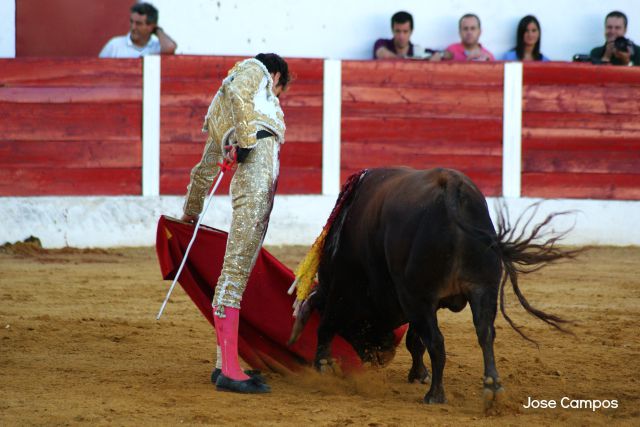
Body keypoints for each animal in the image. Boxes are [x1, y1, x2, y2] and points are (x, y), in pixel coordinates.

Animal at [288, 166, 576, 408]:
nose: (380, 356)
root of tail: (453, 188)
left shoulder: (348, 288)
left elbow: (328, 325)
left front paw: (323, 367)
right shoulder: (420, 300)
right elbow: (416, 340)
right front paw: (419, 374)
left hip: (420, 296)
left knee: (438, 341)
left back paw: (436, 395)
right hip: (483, 288)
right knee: (485, 333)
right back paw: (492, 389)